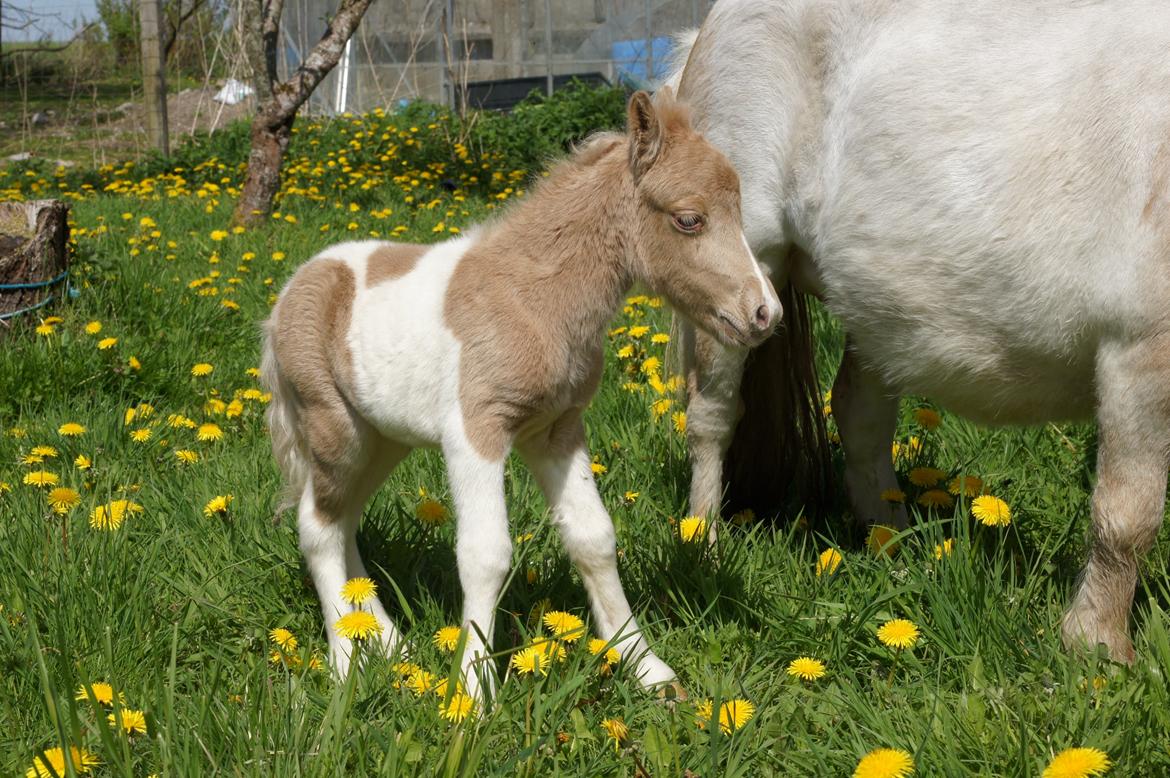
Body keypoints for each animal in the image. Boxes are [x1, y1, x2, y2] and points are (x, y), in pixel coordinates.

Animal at [260, 89, 781, 697]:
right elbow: (485, 554)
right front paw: (472, 694)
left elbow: (594, 538)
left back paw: (387, 642)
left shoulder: (556, 429)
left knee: (343, 521)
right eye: (689, 219)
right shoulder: (476, 431)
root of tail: (293, 287)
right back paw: (346, 659)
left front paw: (646, 667)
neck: (531, 298)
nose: (765, 313)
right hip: (333, 427)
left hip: (381, 439)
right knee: (317, 527)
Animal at [669, 0, 1170, 659]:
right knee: (713, 418)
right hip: (741, 275)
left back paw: (894, 546)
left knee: (859, 416)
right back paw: (704, 547)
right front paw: (1097, 646)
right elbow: (1127, 514)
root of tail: (704, 30)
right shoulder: (1142, 352)